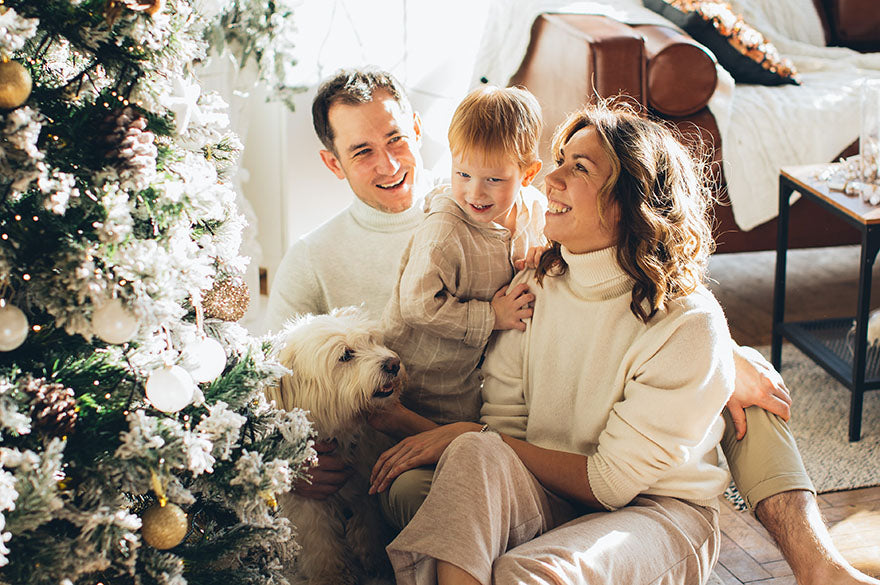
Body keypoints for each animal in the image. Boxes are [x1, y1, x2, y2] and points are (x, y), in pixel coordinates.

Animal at [268, 306, 402, 584]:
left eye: (371, 341)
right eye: (346, 355)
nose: (393, 364)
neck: (340, 435)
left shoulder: (365, 486)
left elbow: (369, 527)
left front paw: (376, 561)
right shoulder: (310, 499)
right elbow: (320, 542)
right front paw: (331, 575)